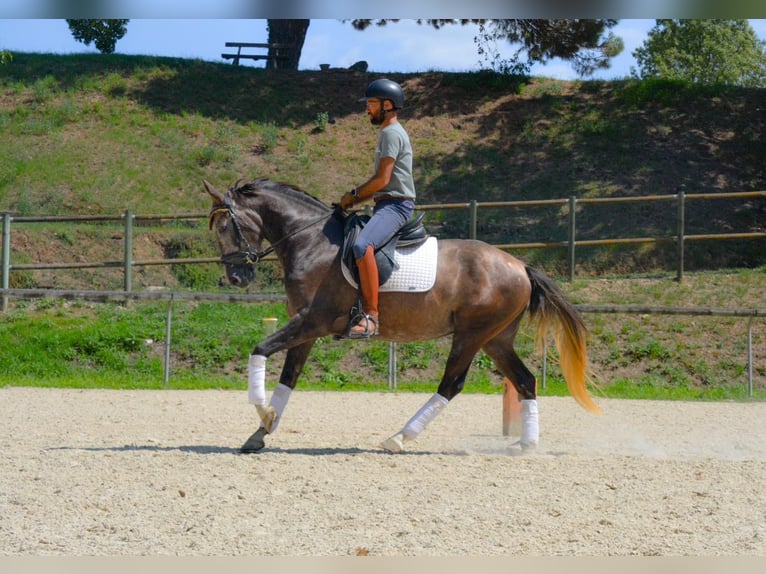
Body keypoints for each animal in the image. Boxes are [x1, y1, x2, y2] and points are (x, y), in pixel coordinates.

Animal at [204, 177, 601, 454]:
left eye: (225, 227)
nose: (237, 277)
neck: (311, 242)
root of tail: (520, 266)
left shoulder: (310, 320)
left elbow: (259, 350)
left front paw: (262, 413)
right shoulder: (307, 329)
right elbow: (288, 378)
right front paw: (261, 432)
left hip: (471, 335)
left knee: (452, 384)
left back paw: (398, 438)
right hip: (496, 339)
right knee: (525, 381)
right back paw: (526, 445)